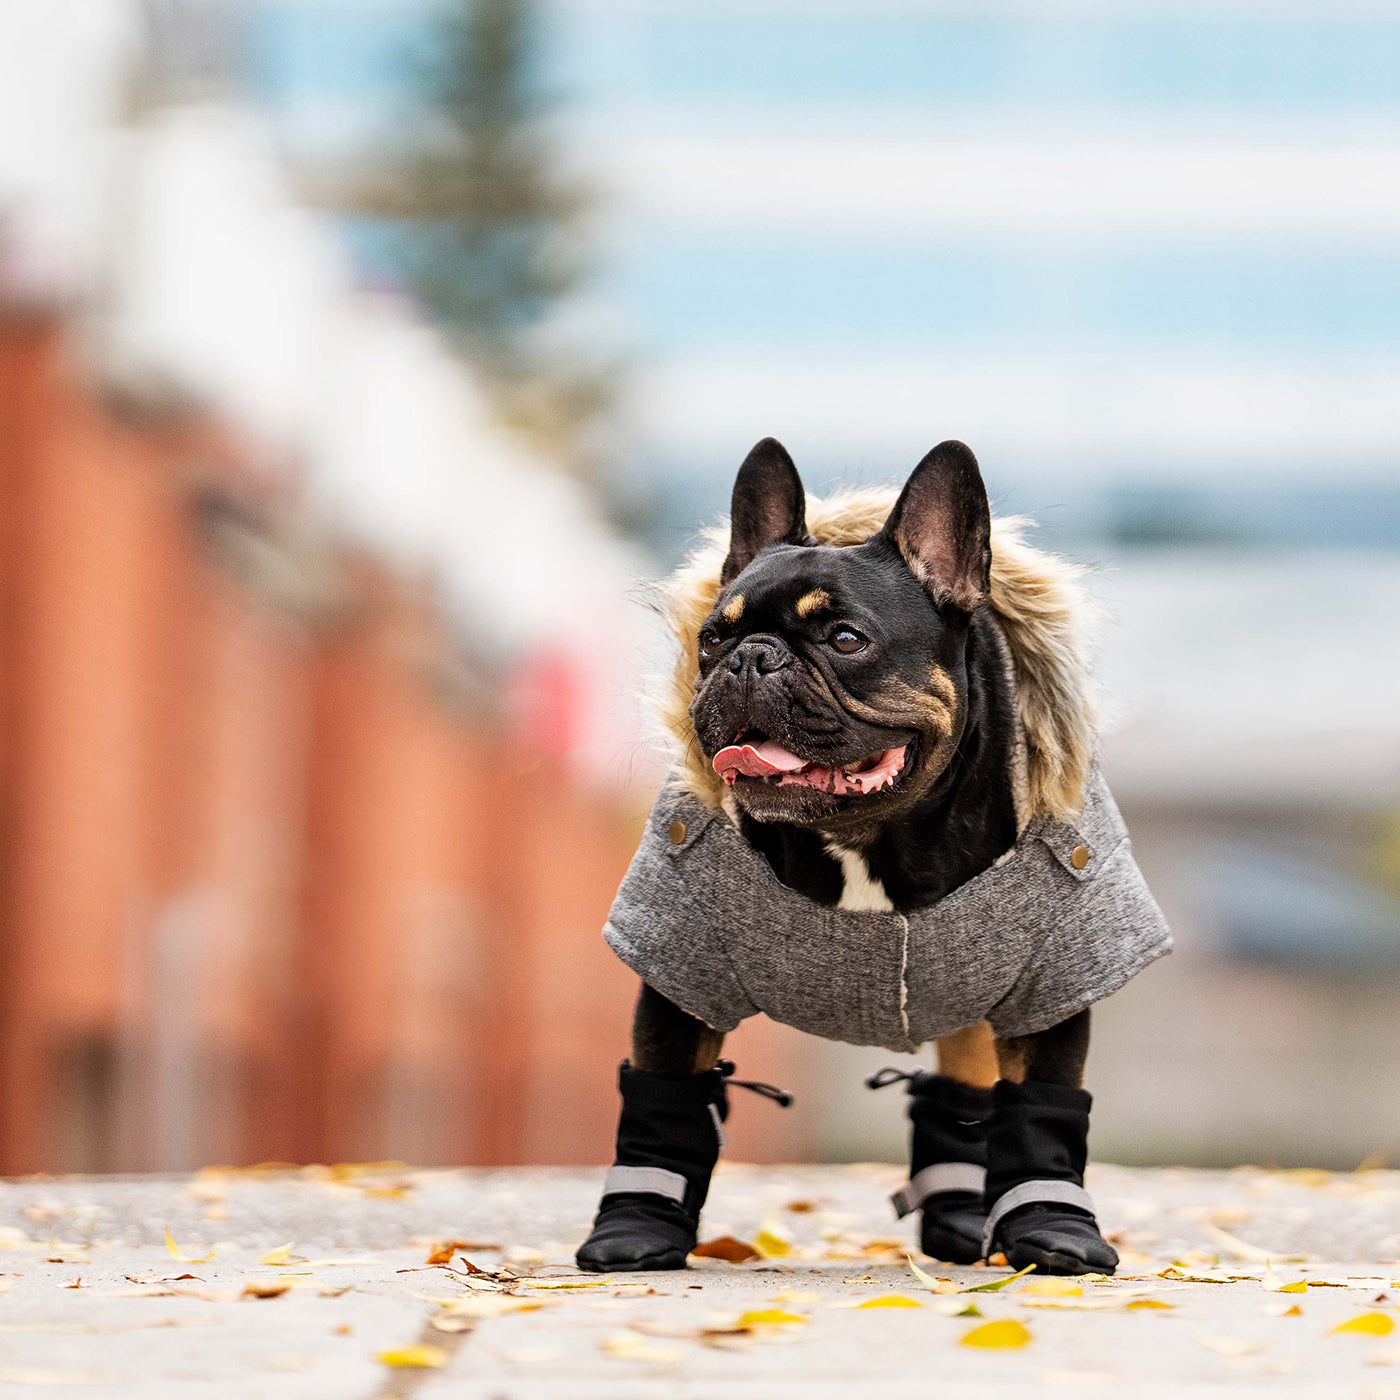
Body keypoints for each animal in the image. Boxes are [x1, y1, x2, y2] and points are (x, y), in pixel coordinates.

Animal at [576, 439, 1170, 1282]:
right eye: (712, 639)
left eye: (845, 640)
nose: (751, 659)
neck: (869, 834)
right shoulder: (680, 965)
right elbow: (664, 1093)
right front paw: (636, 1227)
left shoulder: (1054, 981)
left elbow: (1044, 1104)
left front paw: (1055, 1230)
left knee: (969, 1083)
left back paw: (964, 1219)